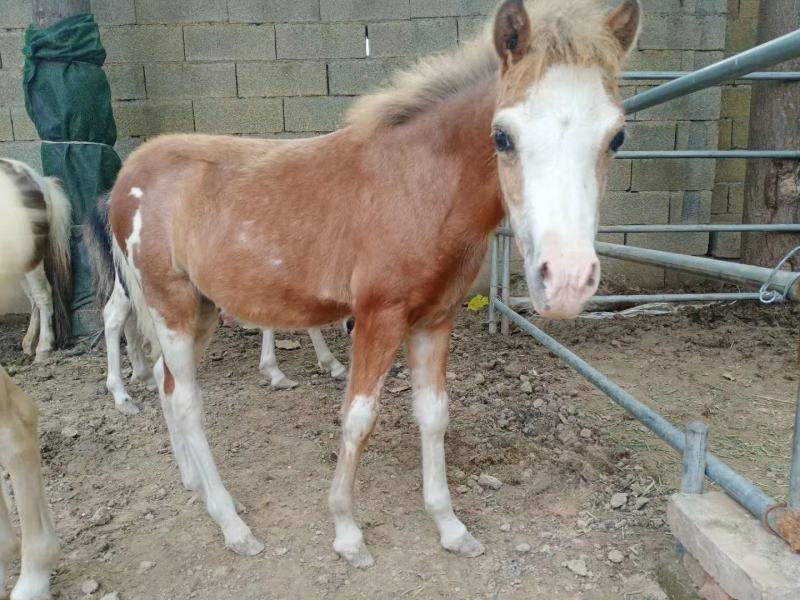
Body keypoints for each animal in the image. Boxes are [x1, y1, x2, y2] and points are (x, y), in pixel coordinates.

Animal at [86, 204, 348, 415]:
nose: (349, 327)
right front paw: (275, 371)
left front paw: (330, 364)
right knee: (115, 315)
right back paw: (122, 397)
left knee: (127, 314)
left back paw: (144, 377)